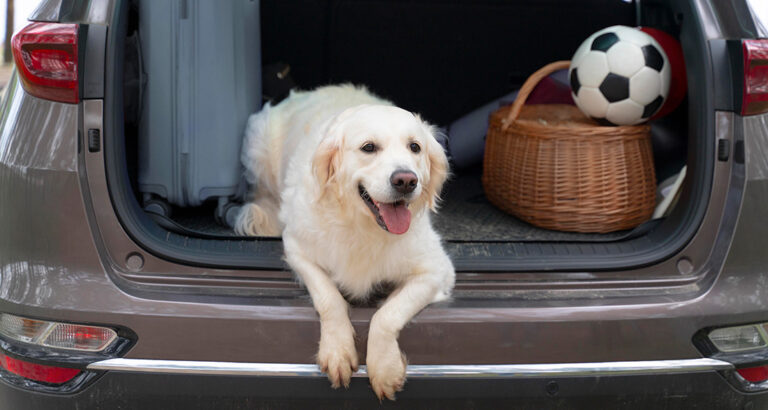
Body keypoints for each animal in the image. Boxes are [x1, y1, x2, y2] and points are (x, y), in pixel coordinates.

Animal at [234, 84, 456, 400]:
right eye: (369, 147)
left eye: (415, 147)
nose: (406, 180)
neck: (362, 226)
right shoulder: (297, 248)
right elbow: (329, 298)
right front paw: (337, 351)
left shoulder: (437, 270)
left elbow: (387, 314)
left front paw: (385, 367)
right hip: (258, 144)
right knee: (262, 194)